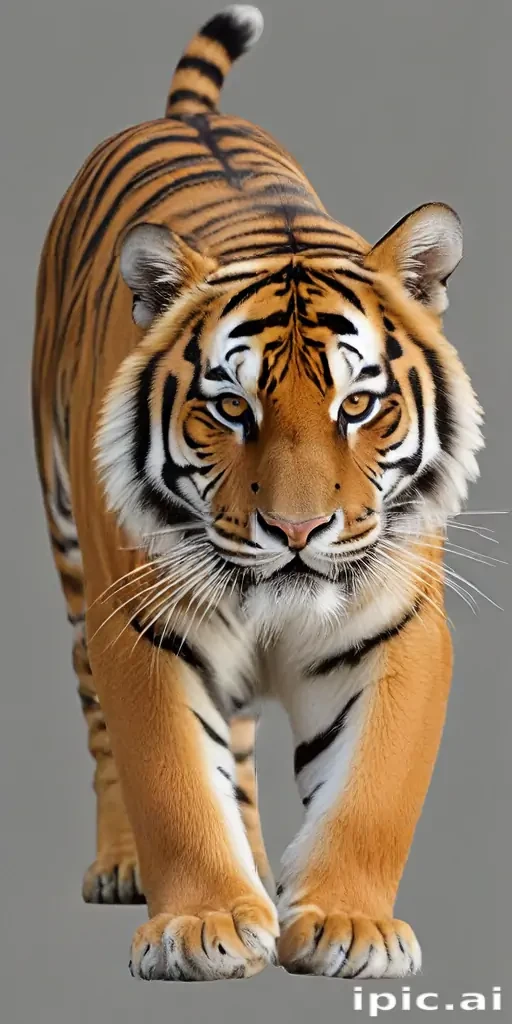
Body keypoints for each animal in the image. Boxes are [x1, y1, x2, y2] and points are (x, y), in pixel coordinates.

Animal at [32, 4, 483, 981]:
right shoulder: (142, 624)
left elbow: (372, 790)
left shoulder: (399, 628)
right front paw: (201, 923)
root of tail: (183, 116)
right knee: (101, 723)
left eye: (360, 405)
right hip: (75, 557)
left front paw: (348, 924)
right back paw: (128, 867)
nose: (297, 528)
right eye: (231, 407)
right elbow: (170, 776)